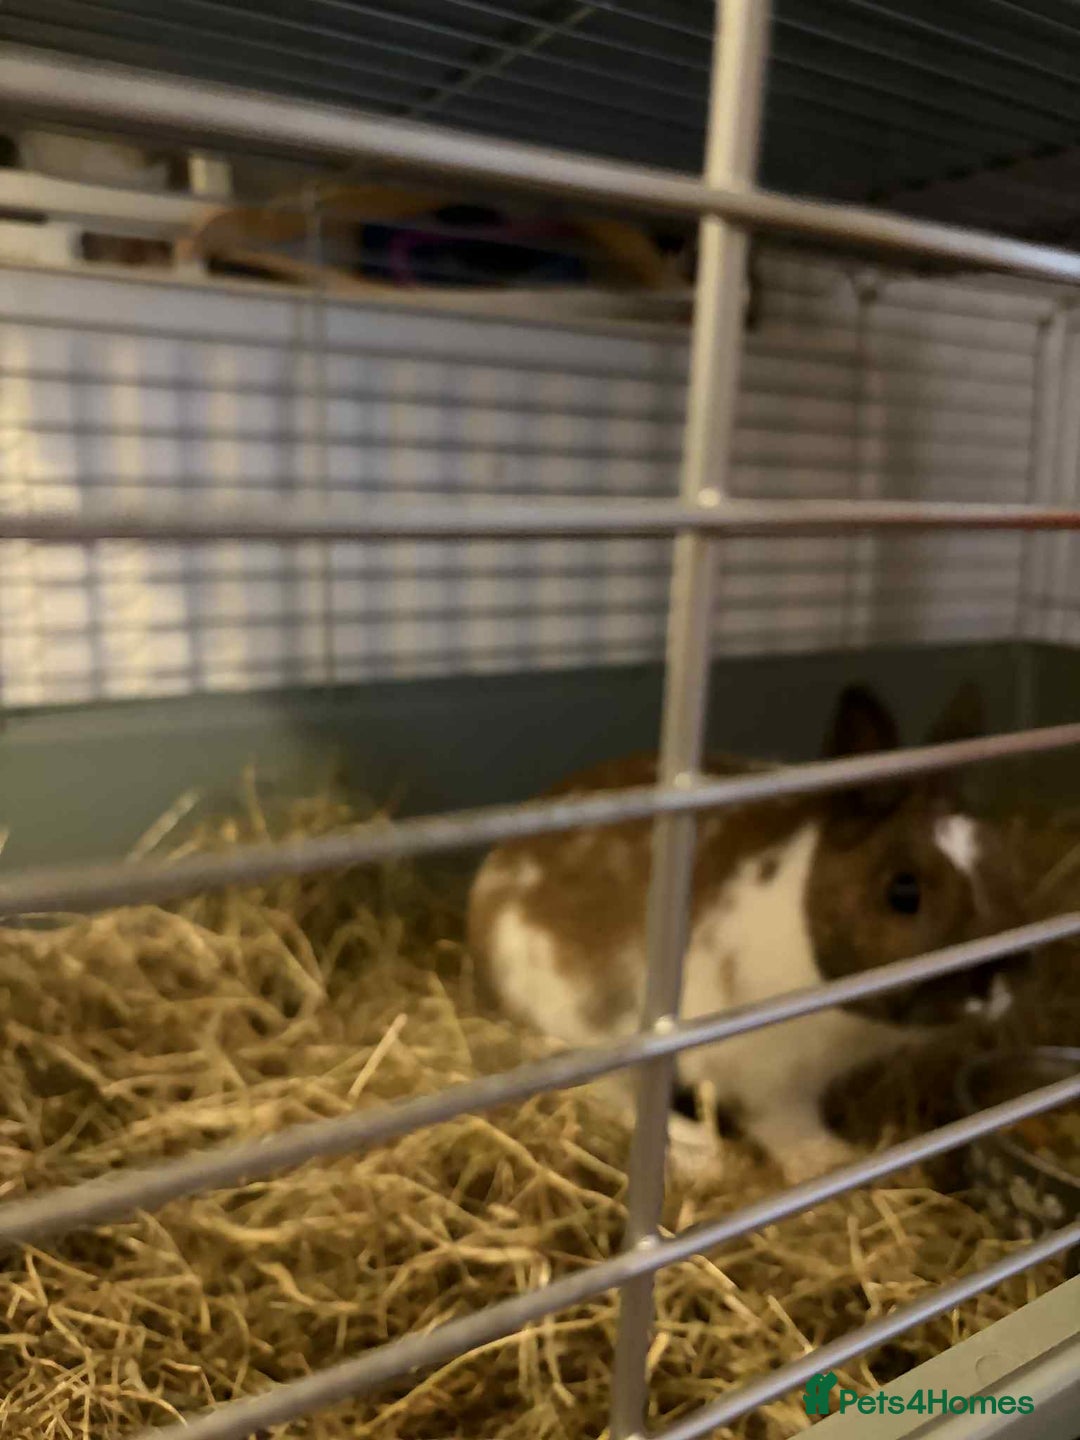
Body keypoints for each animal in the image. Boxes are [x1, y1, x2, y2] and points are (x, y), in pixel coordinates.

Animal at [467, 684, 1029, 1185]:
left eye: (1003, 860)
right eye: (903, 890)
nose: (997, 982)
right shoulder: (768, 1078)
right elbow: (783, 1121)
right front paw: (828, 1161)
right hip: (581, 1027)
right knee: (610, 1091)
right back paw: (698, 1156)